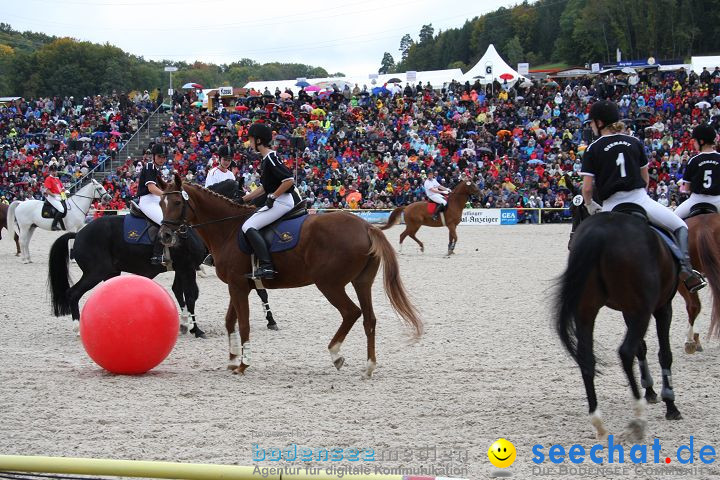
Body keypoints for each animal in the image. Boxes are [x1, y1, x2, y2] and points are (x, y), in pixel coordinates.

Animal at [48, 214, 208, 338]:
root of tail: (79, 234)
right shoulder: (187, 268)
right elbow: (191, 295)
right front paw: (196, 329)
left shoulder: (181, 268)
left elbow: (179, 292)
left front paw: (185, 324)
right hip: (95, 273)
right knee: (73, 293)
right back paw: (77, 327)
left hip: (110, 274)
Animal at [155, 174, 420, 376]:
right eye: (160, 204)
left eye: (177, 202)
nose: (165, 236)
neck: (228, 229)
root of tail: (365, 226)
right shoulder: (238, 285)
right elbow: (230, 321)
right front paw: (232, 359)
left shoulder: (238, 286)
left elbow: (244, 324)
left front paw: (243, 364)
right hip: (361, 282)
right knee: (369, 319)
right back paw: (369, 366)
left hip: (330, 284)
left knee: (351, 312)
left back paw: (335, 354)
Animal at [556, 178, 680, 440]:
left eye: (575, 211)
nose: (571, 243)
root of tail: (599, 234)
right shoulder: (661, 307)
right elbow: (663, 353)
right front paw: (669, 403)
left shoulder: (628, 310)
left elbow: (643, 349)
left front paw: (651, 391)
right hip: (642, 310)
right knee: (625, 351)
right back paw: (638, 417)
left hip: (586, 310)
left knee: (587, 357)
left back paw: (599, 422)